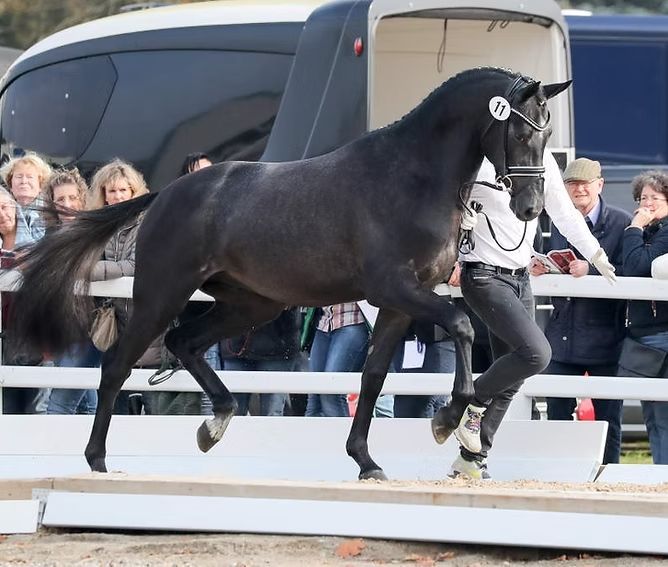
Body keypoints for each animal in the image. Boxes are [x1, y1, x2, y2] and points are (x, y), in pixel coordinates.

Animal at [11, 67, 569, 480]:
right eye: (521, 129)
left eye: (546, 134)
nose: (530, 207)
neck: (412, 175)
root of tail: (167, 192)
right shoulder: (396, 288)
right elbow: (462, 324)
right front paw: (447, 419)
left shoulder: (398, 302)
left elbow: (372, 377)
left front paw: (366, 461)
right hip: (161, 295)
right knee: (117, 367)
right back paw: (97, 460)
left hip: (251, 304)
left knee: (184, 343)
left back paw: (214, 424)